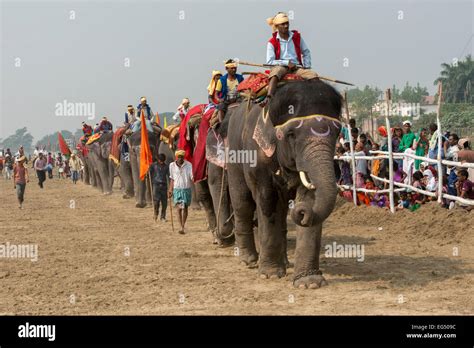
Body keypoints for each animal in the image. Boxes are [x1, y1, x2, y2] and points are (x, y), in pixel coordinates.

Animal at [225, 79, 340, 288]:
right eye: (291, 134)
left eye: (337, 132)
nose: (300, 213)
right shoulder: (258, 156)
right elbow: (267, 200)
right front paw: (270, 275)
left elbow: (310, 198)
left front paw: (309, 283)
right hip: (234, 155)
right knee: (242, 203)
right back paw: (249, 260)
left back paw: (284, 261)